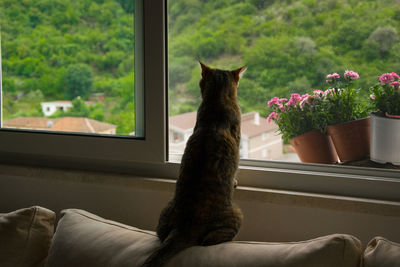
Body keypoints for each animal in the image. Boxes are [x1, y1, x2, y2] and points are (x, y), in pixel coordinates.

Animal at [142, 62, 245, 266]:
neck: (217, 101)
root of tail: (184, 227)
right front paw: (236, 182)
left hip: (165, 212)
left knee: (161, 236)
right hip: (236, 214)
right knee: (209, 240)